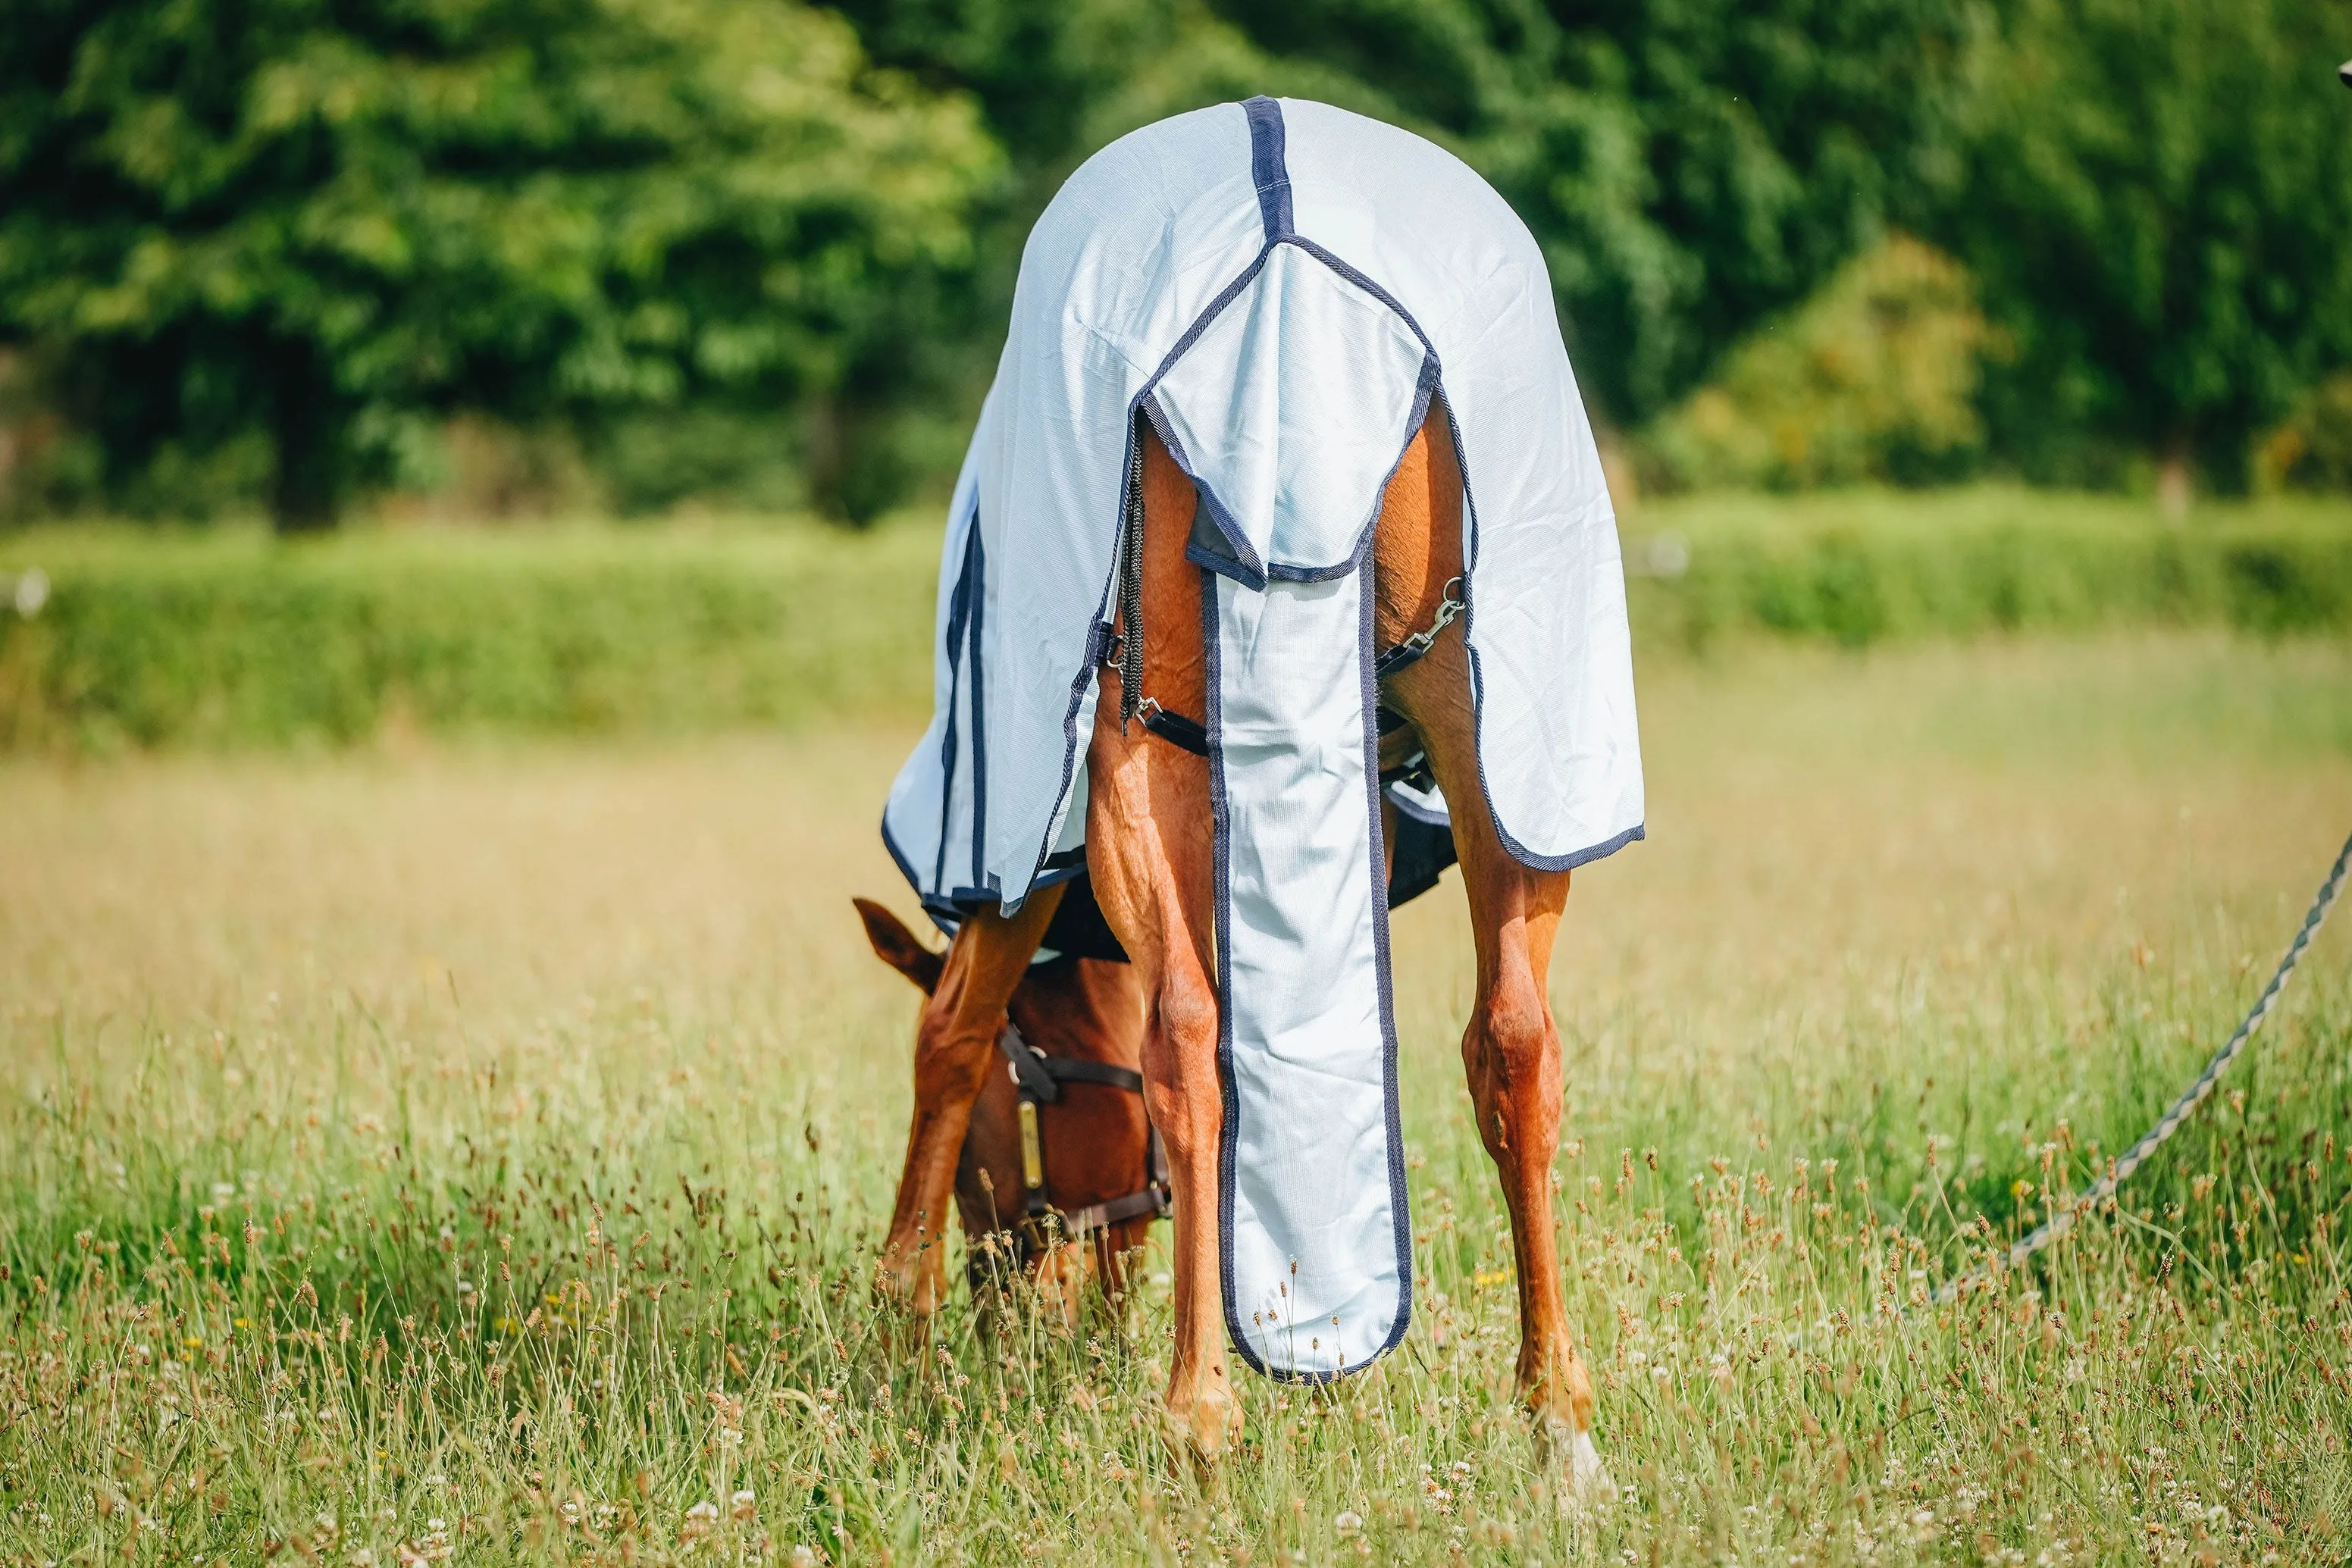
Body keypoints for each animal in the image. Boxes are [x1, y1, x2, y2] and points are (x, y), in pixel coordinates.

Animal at [865, 98, 1636, 1494]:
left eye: (1017, 1129)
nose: (1023, 1303)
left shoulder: (1034, 838)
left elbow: (952, 1032)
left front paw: (900, 1321)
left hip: (1131, 759)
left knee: (1167, 1032)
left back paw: (1187, 1409)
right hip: (1490, 750)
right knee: (1512, 1042)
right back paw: (1555, 1418)